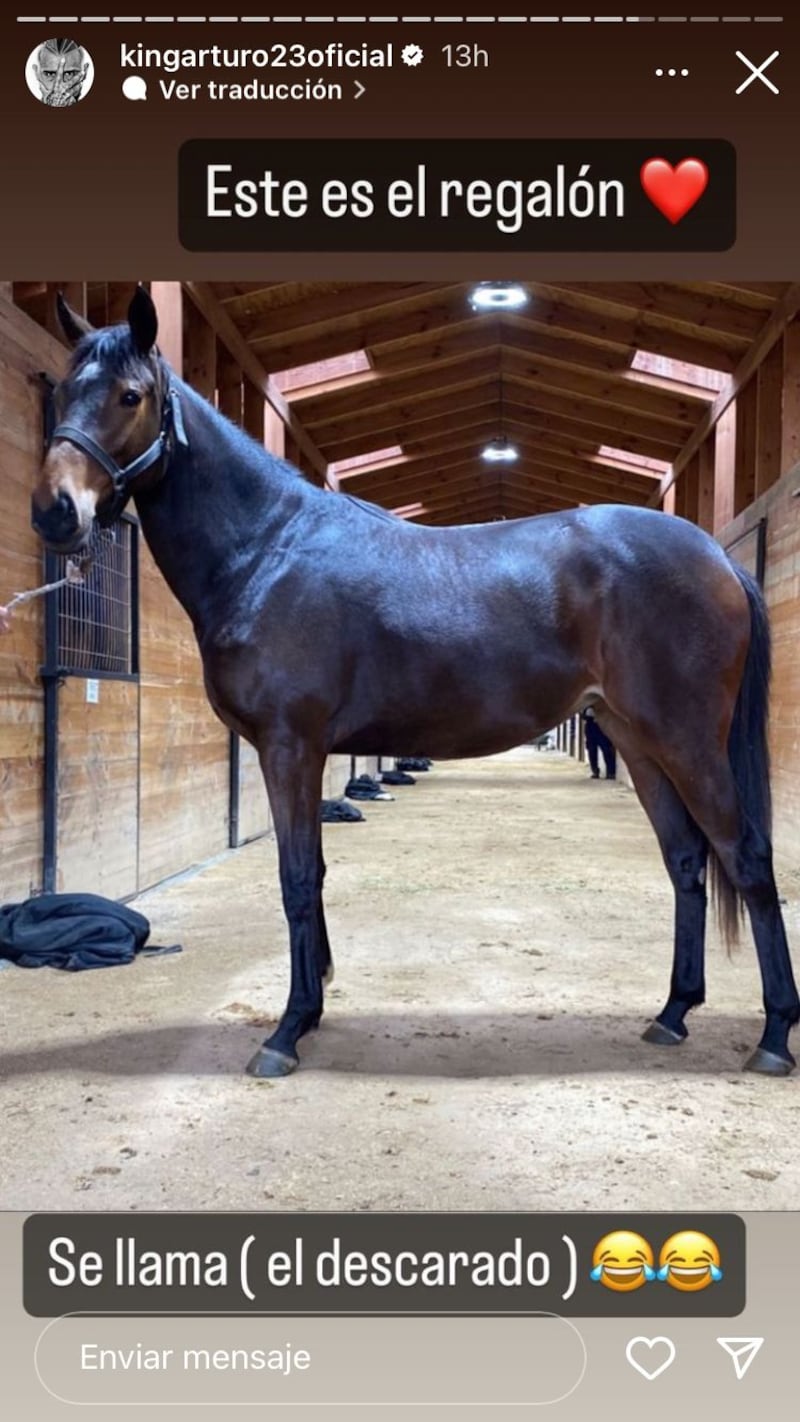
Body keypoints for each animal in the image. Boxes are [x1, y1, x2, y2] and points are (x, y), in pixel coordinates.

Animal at [31, 288, 800, 1075]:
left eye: (131, 395)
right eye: (60, 392)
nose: (56, 511)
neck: (267, 549)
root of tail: (718, 558)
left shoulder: (289, 746)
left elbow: (296, 877)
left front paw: (286, 1031)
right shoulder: (301, 753)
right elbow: (314, 871)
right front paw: (314, 1006)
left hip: (687, 742)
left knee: (746, 856)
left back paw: (773, 1036)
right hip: (638, 742)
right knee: (686, 860)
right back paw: (673, 1013)